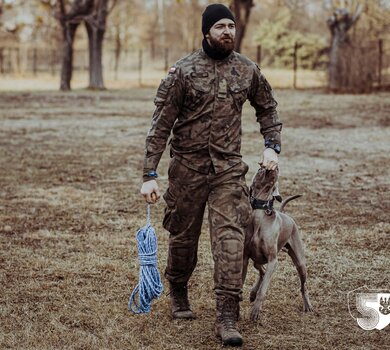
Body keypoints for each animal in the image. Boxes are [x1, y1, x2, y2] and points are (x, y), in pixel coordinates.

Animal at [244, 166, 314, 320]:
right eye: (260, 170)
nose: (273, 167)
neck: (260, 216)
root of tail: (286, 214)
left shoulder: (273, 260)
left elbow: (263, 290)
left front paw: (255, 310)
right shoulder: (246, 256)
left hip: (300, 263)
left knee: (303, 286)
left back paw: (307, 305)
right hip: (256, 259)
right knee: (262, 271)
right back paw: (252, 292)